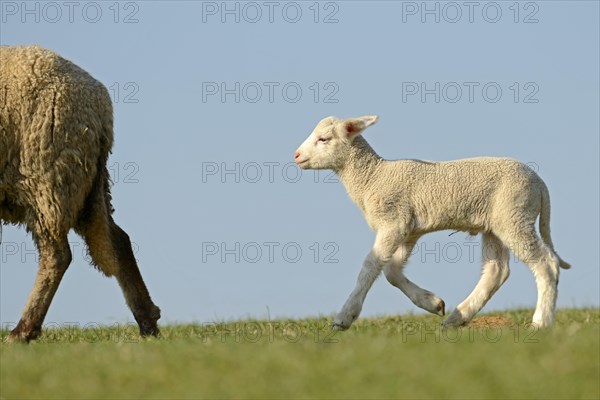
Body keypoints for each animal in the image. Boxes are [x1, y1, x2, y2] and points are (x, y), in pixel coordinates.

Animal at [0, 45, 161, 342]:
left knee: (57, 255)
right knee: (118, 239)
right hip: (87, 184)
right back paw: (148, 322)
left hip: (48, 177)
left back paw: (23, 331)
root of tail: (98, 102)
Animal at [296, 114, 572, 330]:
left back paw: (540, 323)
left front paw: (344, 317)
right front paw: (433, 303)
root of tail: (540, 184)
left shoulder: (393, 222)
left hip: (514, 216)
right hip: (496, 224)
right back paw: (456, 318)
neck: (372, 177)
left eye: (323, 139)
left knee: (546, 264)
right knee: (496, 271)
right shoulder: (408, 229)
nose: (296, 155)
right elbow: (391, 272)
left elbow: (370, 267)